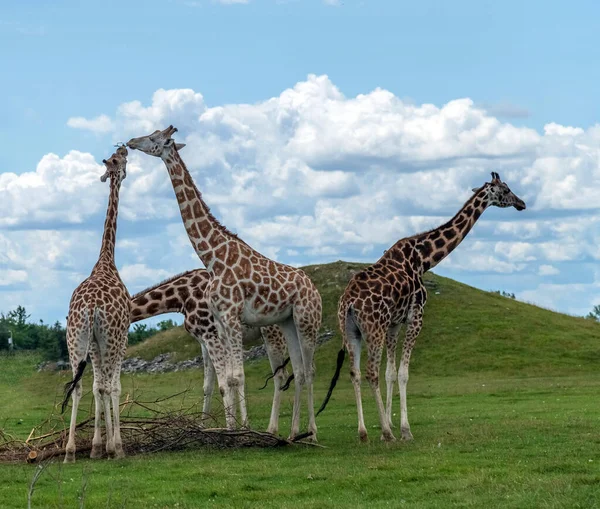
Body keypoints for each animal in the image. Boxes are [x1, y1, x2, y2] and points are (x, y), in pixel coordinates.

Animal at [132, 268, 290, 434]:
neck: (181, 298)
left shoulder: (211, 336)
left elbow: (224, 385)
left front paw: (231, 427)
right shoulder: (203, 341)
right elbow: (208, 386)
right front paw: (203, 426)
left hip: (272, 333)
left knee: (280, 375)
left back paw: (272, 429)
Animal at [318, 171, 524, 440]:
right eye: (506, 190)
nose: (522, 203)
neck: (424, 260)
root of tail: (349, 302)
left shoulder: (394, 323)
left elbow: (390, 373)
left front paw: (391, 423)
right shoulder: (416, 316)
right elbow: (403, 373)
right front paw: (404, 430)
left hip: (351, 330)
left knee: (355, 372)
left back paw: (363, 433)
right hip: (373, 328)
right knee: (370, 372)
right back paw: (387, 434)